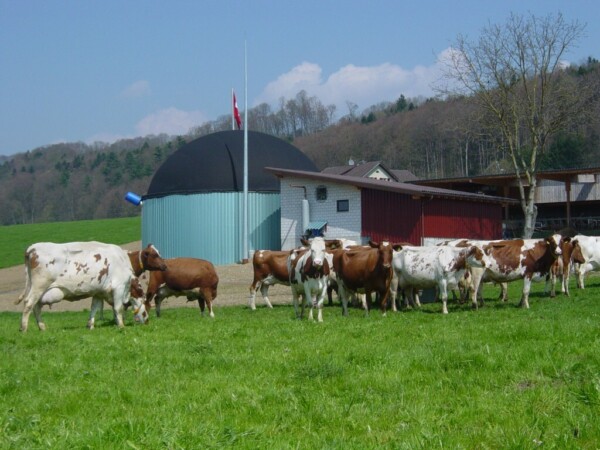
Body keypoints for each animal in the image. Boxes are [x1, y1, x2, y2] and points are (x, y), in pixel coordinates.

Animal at [16, 241, 150, 332]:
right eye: (144, 301)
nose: (147, 320)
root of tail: (32, 248)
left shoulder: (98, 292)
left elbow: (94, 308)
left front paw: (90, 325)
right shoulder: (119, 287)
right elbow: (118, 308)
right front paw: (121, 326)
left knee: (36, 306)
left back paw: (42, 327)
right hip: (39, 286)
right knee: (29, 304)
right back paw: (24, 328)